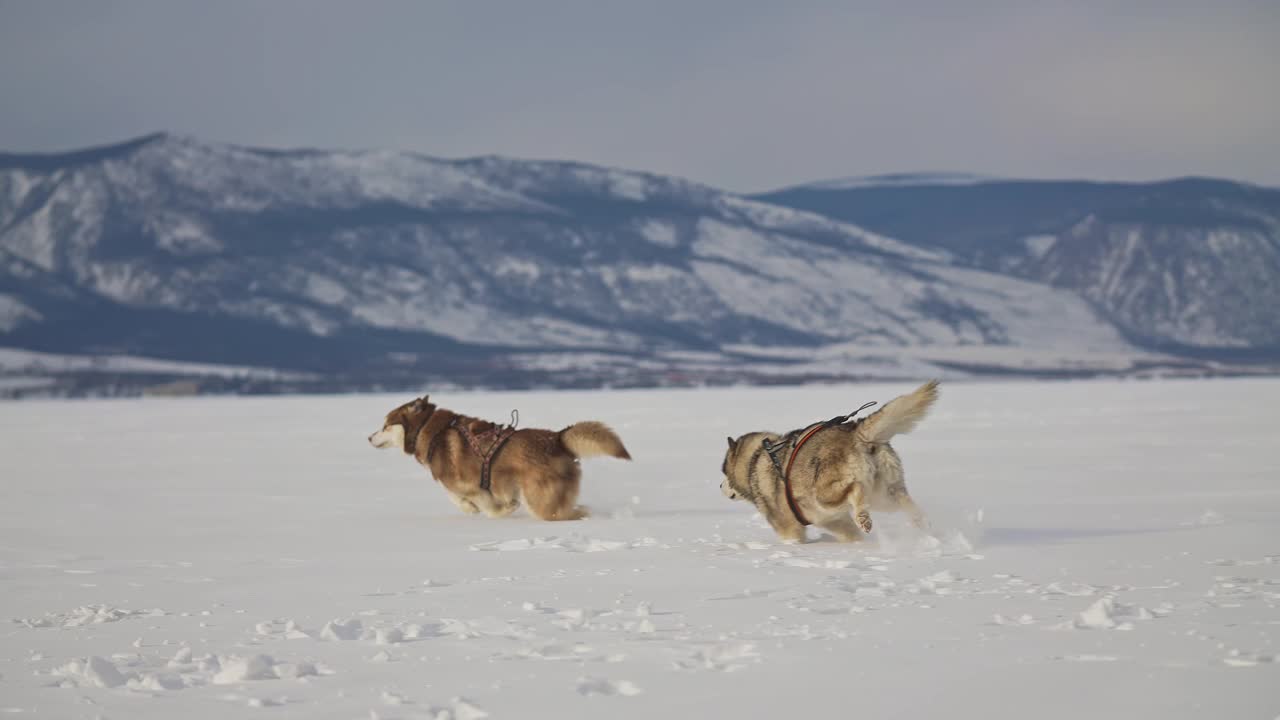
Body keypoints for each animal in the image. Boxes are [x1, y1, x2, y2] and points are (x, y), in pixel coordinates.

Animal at [368, 394, 632, 517]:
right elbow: (455, 497)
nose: (369, 438)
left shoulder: (470, 484)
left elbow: (474, 501)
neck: (428, 430)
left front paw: (500, 509)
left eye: (385, 426)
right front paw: (470, 508)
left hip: (539, 501)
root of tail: (557, 438)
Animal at [721, 381, 942, 538]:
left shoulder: (790, 526)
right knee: (903, 500)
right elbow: (849, 534)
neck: (754, 461)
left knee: (855, 489)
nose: (720, 486)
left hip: (826, 494)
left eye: (723, 472)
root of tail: (854, 431)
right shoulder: (831, 520)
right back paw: (921, 522)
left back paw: (864, 519)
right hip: (883, 494)